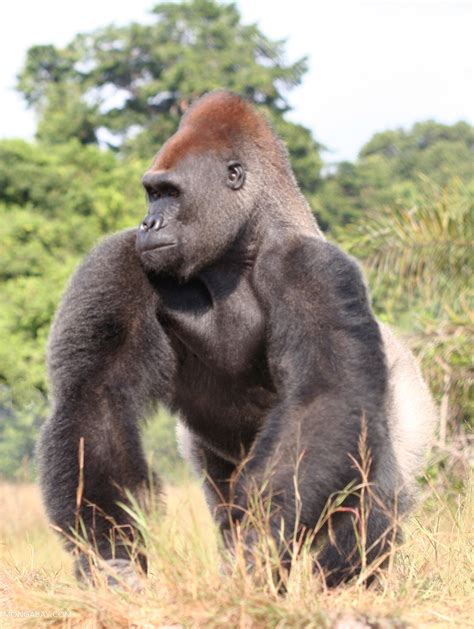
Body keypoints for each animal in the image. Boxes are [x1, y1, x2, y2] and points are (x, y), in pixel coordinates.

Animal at [38, 91, 436, 588]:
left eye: (170, 193)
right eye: (152, 193)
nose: (148, 224)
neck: (241, 246)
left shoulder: (312, 267)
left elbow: (324, 398)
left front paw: (262, 543)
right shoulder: (123, 257)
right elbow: (97, 398)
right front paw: (112, 553)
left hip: (411, 399)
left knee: (377, 480)